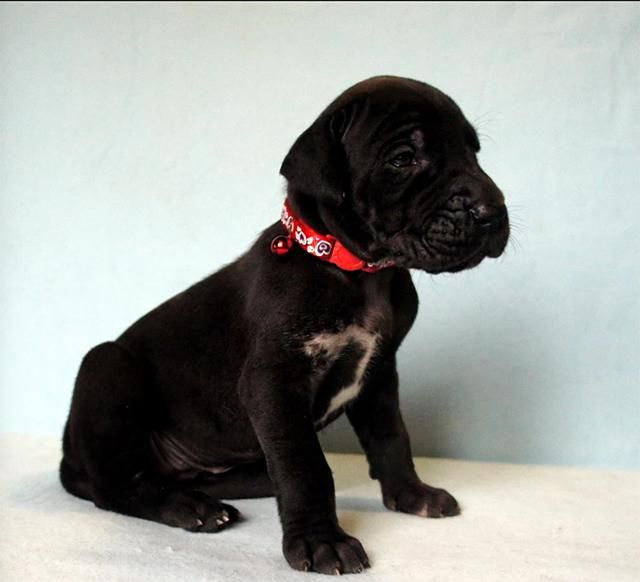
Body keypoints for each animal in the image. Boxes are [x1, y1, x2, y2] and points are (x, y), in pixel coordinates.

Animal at [60, 76, 509, 575]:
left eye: (473, 151)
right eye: (403, 159)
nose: (493, 211)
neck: (355, 269)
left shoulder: (379, 374)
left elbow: (392, 437)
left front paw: (411, 495)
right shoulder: (273, 381)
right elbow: (305, 466)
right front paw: (321, 541)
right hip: (105, 367)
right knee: (117, 488)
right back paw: (187, 507)